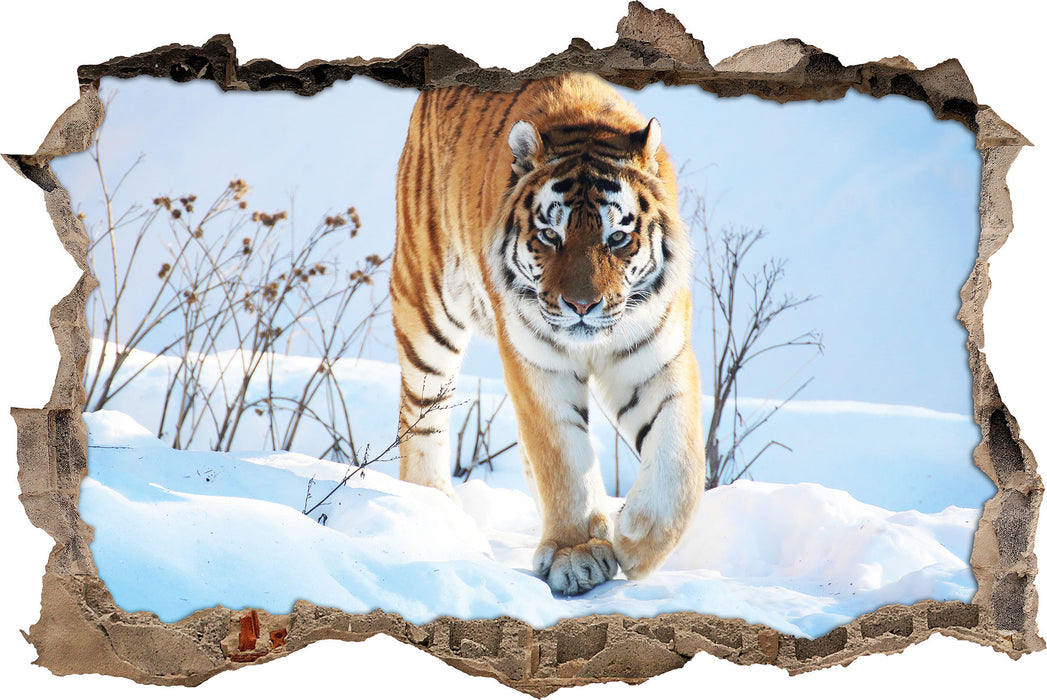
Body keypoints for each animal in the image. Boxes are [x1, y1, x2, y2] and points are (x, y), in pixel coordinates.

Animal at [391, 72, 705, 596]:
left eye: (617, 238)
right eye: (549, 236)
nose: (581, 306)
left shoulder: (657, 357)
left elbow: (681, 460)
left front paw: (637, 538)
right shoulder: (536, 362)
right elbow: (562, 457)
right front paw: (577, 554)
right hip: (426, 306)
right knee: (422, 416)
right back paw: (432, 511)